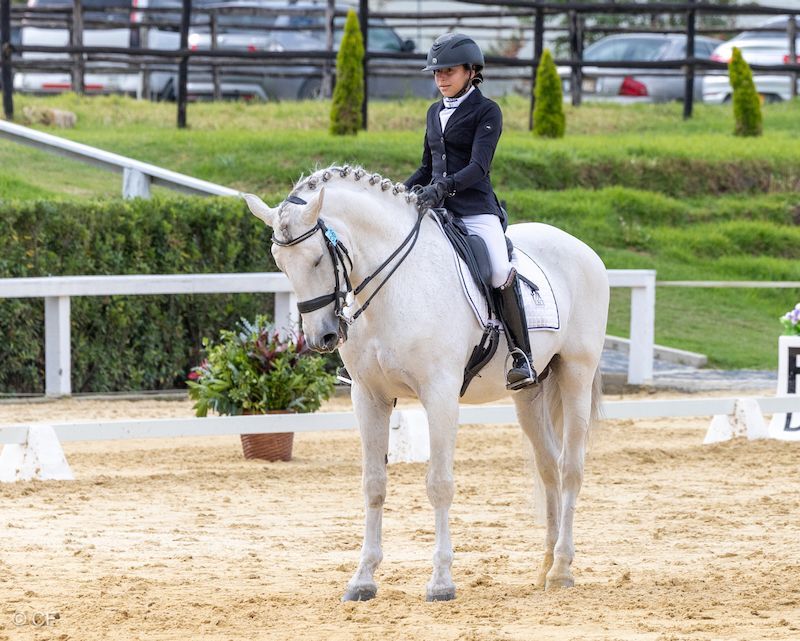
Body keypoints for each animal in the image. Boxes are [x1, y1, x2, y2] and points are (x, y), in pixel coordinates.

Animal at [244, 165, 609, 602]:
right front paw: (362, 579)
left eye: (317, 259)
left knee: (571, 468)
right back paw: (545, 567)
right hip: (530, 392)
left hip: (576, 373)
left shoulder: (440, 395)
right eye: (280, 263)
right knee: (549, 467)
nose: (323, 338)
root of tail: (581, 247)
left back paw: (562, 570)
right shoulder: (368, 396)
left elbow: (439, 484)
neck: (394, 286)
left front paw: (441, 582)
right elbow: (374, 484)